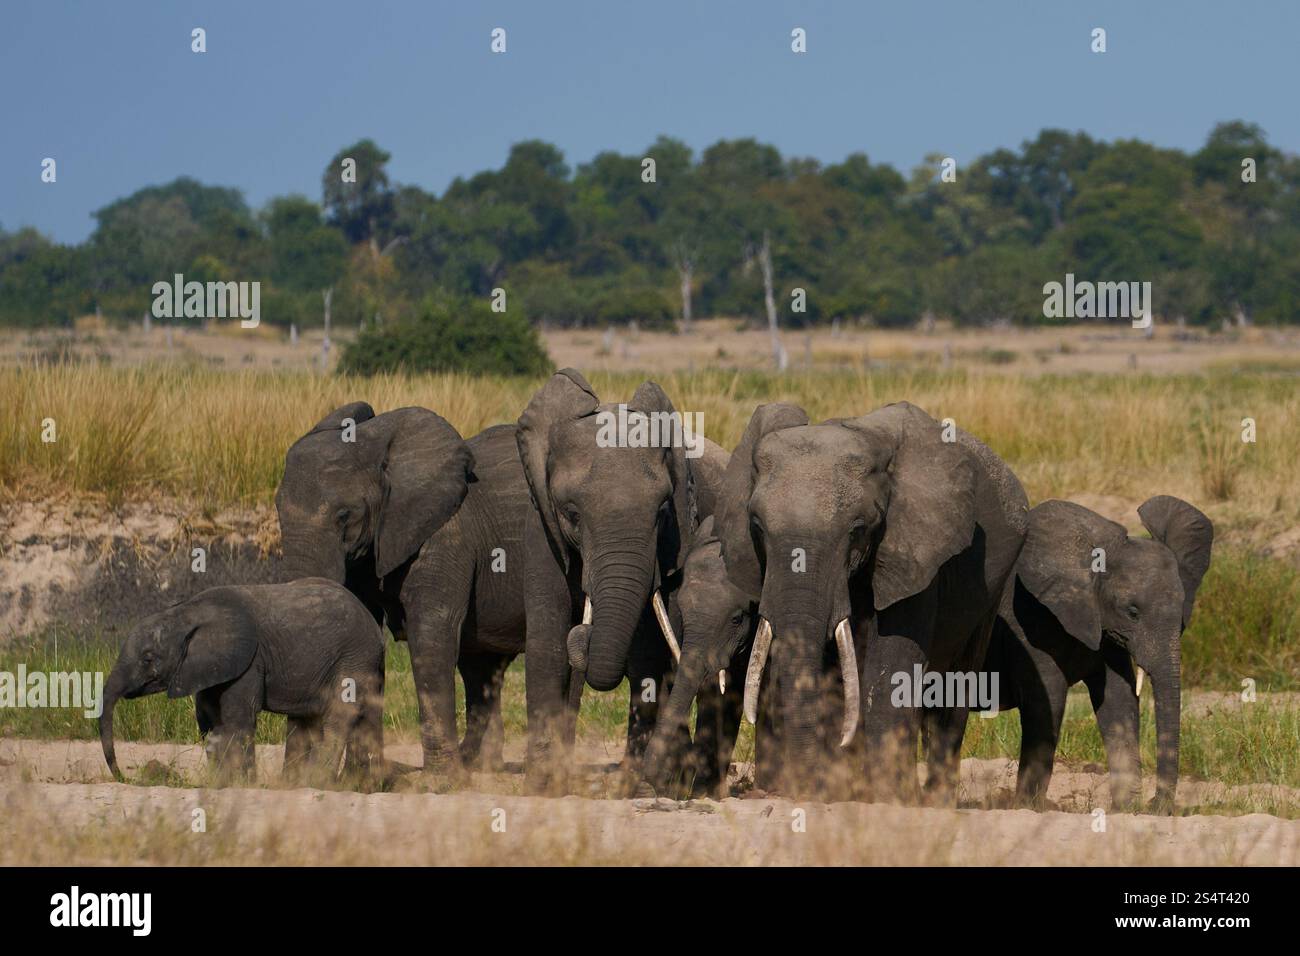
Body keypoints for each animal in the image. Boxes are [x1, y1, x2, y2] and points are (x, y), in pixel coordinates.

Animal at [99, 579, 386, 787]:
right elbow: (210, 721)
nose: (124, 777)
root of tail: (374, 625)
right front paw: (221, 783)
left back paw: (320, 783)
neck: (186, 613)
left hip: (353, 658)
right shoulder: (209, 667)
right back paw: (355, 786)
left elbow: (238, 718)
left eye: (147, 658)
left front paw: (243, 784)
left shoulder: (249, 660)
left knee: (339, 716)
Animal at [276, 402, 531, 785]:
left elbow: (432, 634)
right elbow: (367, 636)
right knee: (481, 667)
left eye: (344, 515)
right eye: (277, 511)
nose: (287, 781)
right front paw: (361, 782)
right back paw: (481, 767)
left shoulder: (445, 532)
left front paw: (441, 784)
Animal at [515, 368, 720, 792]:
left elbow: (648, 645)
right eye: (572, 514)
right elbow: (546, 633)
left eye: (662, 510)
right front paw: (543, 786)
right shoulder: (541, 525)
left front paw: (637, 785)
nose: (585, 633)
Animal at [715, 401, 1029, 802]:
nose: (805, 789)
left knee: (954, 691)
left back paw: (935, 801)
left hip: (991, 590)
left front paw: (888, 798)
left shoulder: (916, 553)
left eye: (857, 529)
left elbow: (889, 670)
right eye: (756, 526)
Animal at [975, 495, 1213, 812]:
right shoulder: (1026, 617)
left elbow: (1119, 700)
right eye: (1132, 612)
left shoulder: (1106, 628)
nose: (1155, 804)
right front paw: (1027, 808)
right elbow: (1047, 699)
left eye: (1182, 620)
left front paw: (1124, 809)